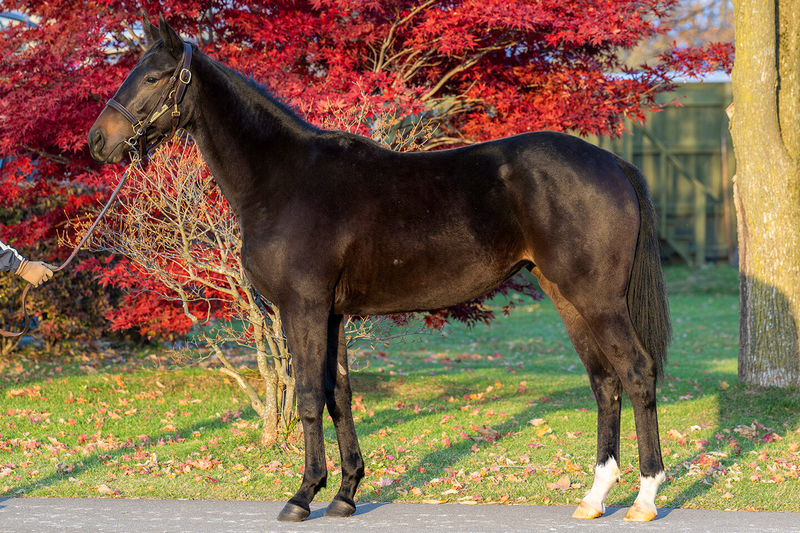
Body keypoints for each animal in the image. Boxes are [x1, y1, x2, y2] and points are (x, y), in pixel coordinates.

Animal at [88, 15, 671, 523]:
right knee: (605, 382)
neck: (284, 179)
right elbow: (338, 395)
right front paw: (345, 493)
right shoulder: (332, 313)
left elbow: (307, 396)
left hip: (597, 300)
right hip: (568, 297)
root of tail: (611, 162)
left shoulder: (304, 307)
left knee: (637, 373)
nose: (98, 141)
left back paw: (645, 499)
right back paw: (594, 498)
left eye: (154, 76)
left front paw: (302, 496)